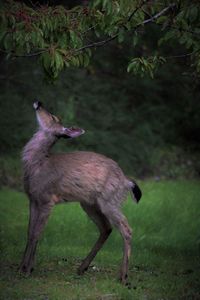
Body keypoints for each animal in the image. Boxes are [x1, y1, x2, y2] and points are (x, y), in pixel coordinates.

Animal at [18, 101, 141, 284]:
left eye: (53, 117)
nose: (38, 103)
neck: (37, 165)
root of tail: (126, 181)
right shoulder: (32, 198)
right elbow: (29, 232)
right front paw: (22, 267)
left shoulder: (48, 199)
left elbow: (36, 233)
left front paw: (27, 270)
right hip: (89, 204)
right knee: (106, 228)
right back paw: (82, 268)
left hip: (109, 200)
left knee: (126, 229)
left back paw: (123, 277)